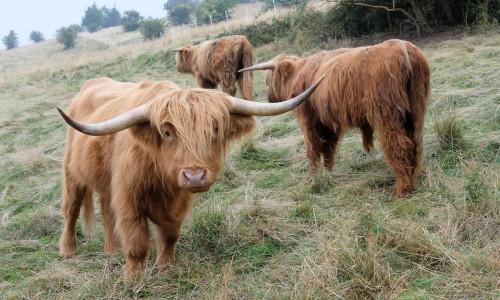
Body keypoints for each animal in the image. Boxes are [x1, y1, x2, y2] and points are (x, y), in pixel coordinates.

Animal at [240, 38, 432, 196]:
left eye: (268, 79)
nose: (268, 96)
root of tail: (403, 47)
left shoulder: (308, 120)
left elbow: (312, 149)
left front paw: (312, 177)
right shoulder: (330, 123)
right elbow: (329, 149)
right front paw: (327, 173)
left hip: (386, 114)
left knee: (399, 144)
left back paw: (402, 189)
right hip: (416, 109)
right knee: (417, 141)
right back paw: (418, 175)